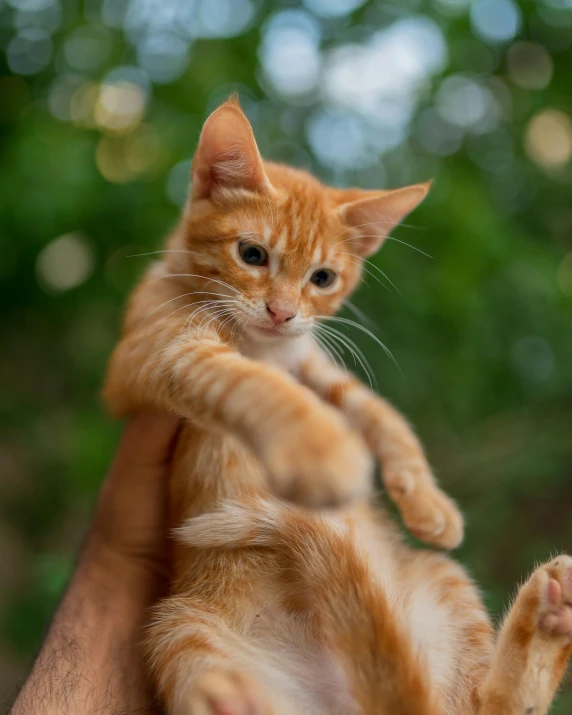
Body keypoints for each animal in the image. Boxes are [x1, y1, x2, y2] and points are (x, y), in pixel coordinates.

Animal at [104, 96, 572, 715]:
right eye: (251, 254)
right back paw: (232, 693)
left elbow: (380, 415)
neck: (265, 344)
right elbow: (242, 379)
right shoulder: (151, 355)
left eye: (322, 278)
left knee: (488, 705)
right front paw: (319, 447)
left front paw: (429, 504)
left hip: (440, 580)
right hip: (181, 628)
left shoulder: (316, 366)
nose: (281, 312)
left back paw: (549, 619)